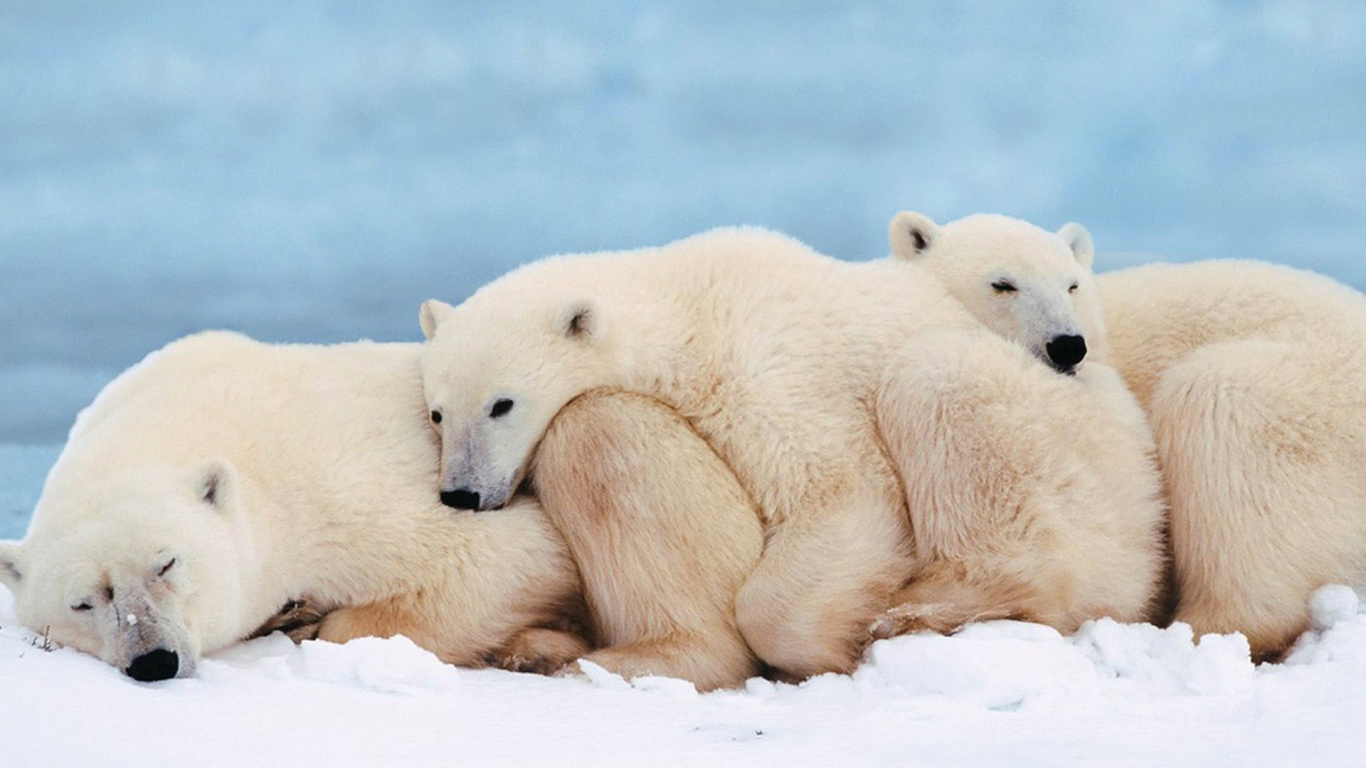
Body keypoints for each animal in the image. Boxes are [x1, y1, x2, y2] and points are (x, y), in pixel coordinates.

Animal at [0, 331, 762, 688]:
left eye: (167, 563)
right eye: (83, 601)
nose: (153, 660)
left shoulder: (337, 486)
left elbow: (505, 557)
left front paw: (313, 619)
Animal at [418, 225, 1166, 679]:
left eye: (502, 403)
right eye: (437, 411)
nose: (462, 493)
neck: (688, 305)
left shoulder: (766, 369)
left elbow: (842, 492)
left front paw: (830, 646)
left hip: (1069, 450)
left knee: (938, 383)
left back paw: (925, 609)